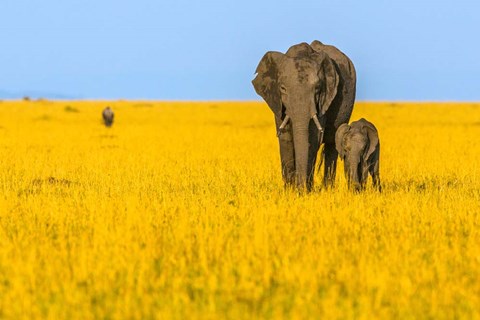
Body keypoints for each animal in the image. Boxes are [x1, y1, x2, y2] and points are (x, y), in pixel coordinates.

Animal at [253, 39, 354, 190]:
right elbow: (285, 138)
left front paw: (305, 191)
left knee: (332, 144)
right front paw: (289, 190)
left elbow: (313, 138)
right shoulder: (277, 101)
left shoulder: (322, 101)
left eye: (317, 89)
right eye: (283, 88)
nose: (300, 188)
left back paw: (327, 189)